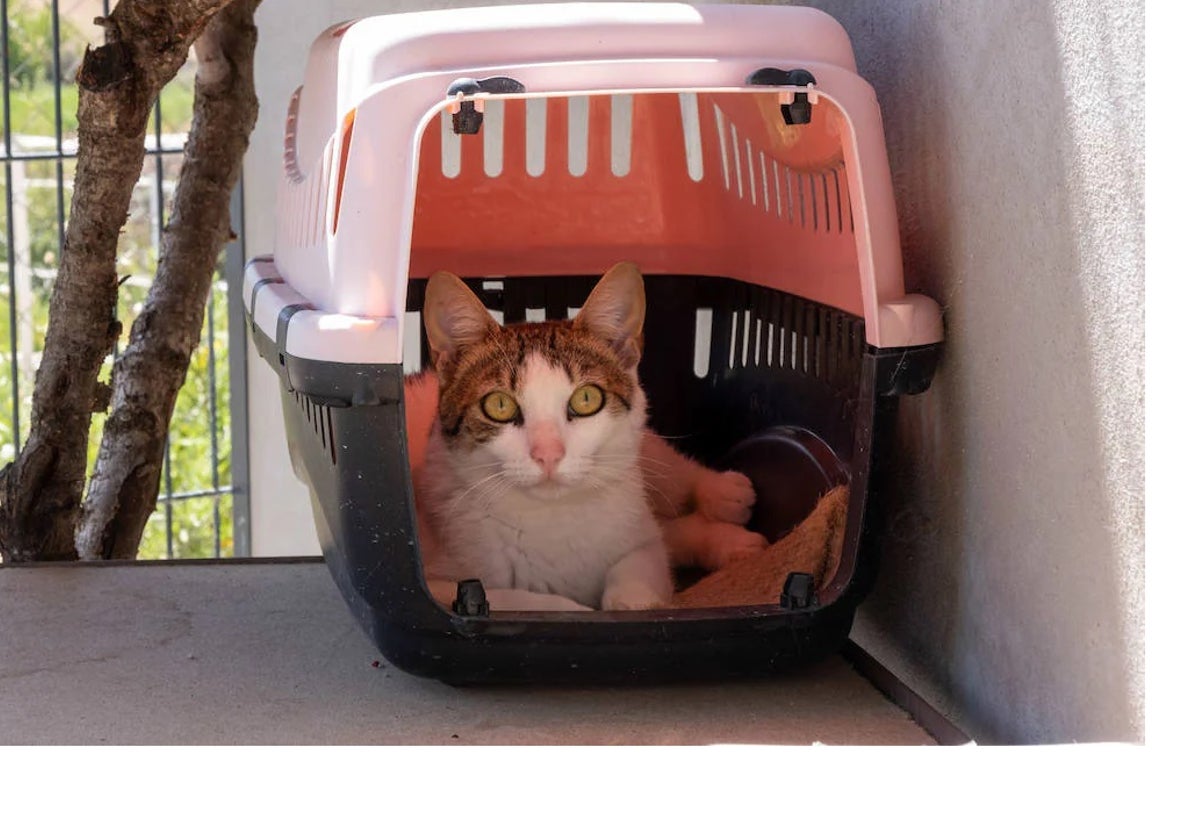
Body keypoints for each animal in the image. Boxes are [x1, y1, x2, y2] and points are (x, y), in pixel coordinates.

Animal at [408, 260, 763, 609]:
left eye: (587, 398)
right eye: (499, 405)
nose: (548, 454)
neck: (553, 517)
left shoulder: (637, 531)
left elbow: (642, 557)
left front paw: (633, 600)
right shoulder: (436, 583)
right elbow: (525, 601)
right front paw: (577, 610)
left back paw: (724, 495)